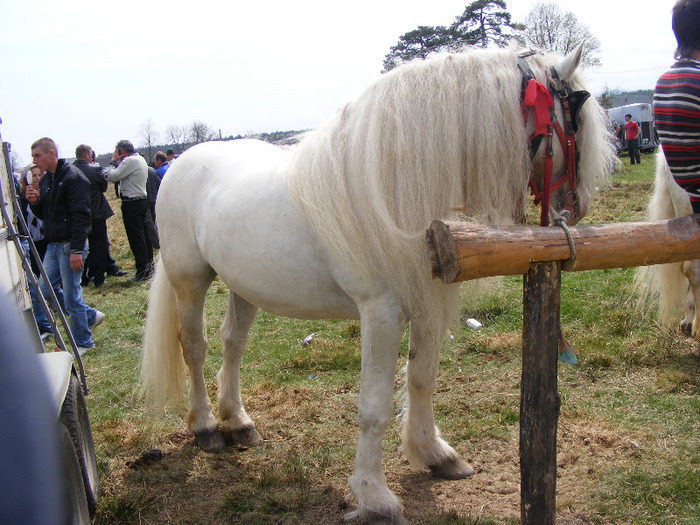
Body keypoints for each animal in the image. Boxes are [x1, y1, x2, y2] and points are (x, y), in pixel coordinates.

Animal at [141, 45, 612, 520]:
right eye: (578, 110)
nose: (576, 206)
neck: (394, 190)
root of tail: (179, 164)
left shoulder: (425, 303)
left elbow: (422, 378)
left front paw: (434, 454)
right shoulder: (381, 313)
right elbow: (373, 406)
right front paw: (372, 494)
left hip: (244, 286)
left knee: (232, 345)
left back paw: (238, 422)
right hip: (189, 280)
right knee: (194, 348)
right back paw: (206, 428)